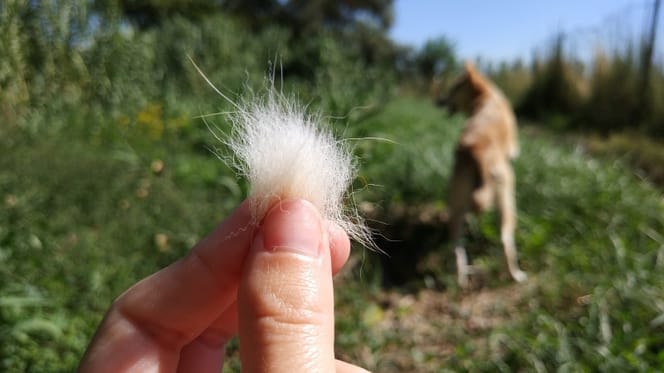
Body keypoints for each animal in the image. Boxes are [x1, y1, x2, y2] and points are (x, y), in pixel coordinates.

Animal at [438, 61, 528, 288]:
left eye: (454, 88)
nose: (439, 101)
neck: (484, 97)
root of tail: (474, 150)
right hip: (507, 199)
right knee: (506, 242)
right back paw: (515, 275)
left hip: (455, 203)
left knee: (457, 248)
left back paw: (460, 280)